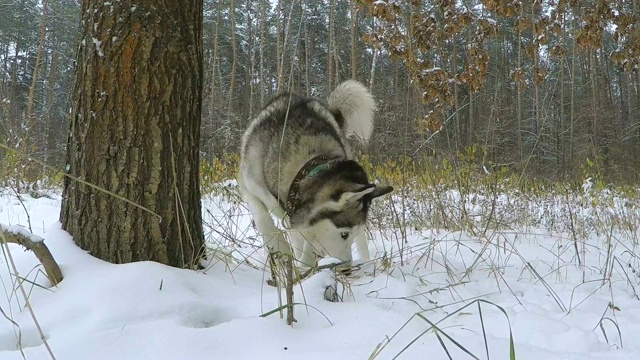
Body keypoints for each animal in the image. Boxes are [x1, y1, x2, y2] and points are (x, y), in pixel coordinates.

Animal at [239, 80, 392, 274]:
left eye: (349, 234)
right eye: (344, 234)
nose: (346, 270)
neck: (305, 169)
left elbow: (310, 244)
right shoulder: (250, 188)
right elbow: (263, 221)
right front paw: (282, 250)